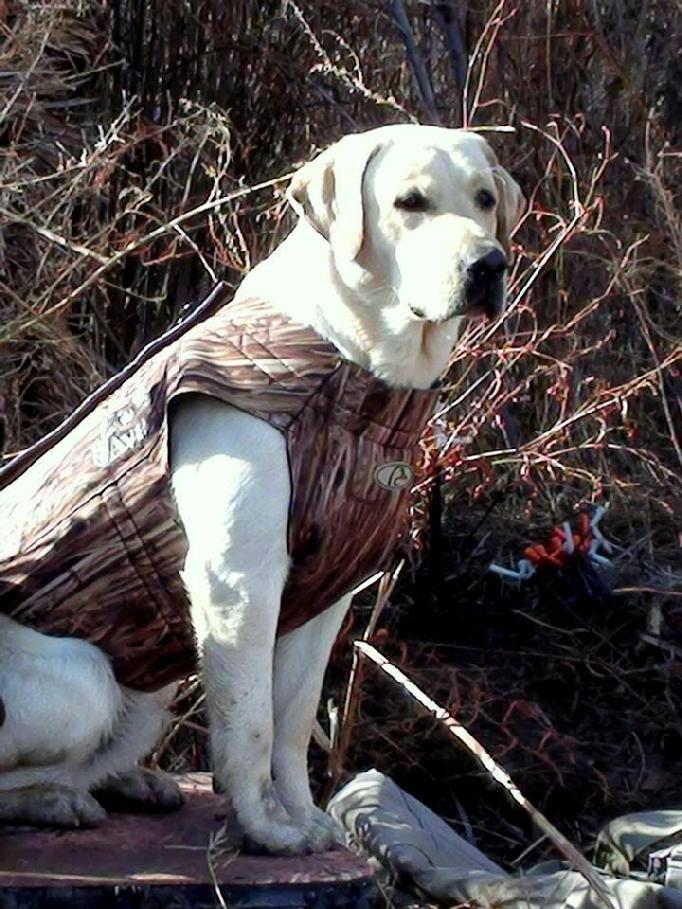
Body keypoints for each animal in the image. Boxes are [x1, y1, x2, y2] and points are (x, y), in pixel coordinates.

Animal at [0, 124, 520, 856]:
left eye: (484, 198)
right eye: (409, 202)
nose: (488, 265)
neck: (354, 368)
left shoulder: (326, 596)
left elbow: (292, 725)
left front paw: (303, 817)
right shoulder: (240, 581)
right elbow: (250, 726)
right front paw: (265, 829)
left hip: (150, 690)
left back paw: (121, 783)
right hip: (88, 679)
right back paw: (55, 800)